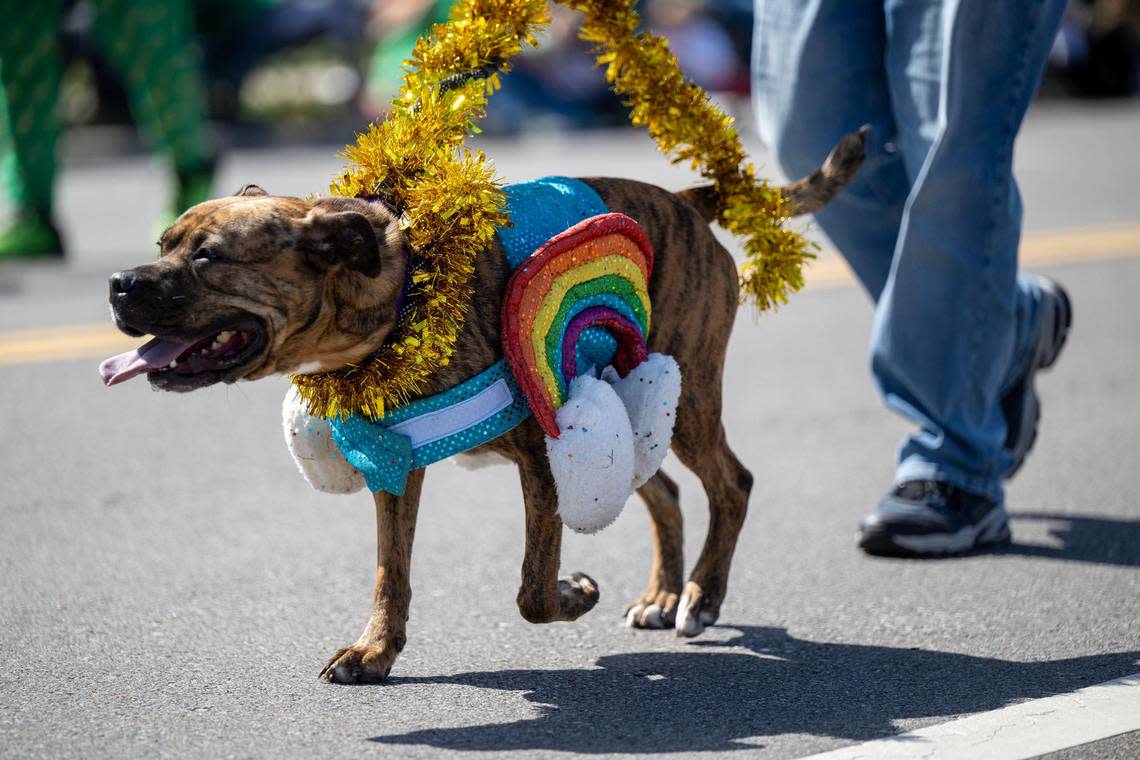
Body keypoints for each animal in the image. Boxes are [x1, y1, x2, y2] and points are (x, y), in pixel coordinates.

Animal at [107, 129, 861, 683]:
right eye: (162, 244)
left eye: (208, 257)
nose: (118, 283)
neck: (399, 298)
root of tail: (682, 200)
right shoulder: (396, 462)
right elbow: (391, 572)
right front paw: (375, 652)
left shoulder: (543, 456)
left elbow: (532, 590)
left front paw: (574, 594)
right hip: (624, 404)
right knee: (667, 493)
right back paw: (664, 596)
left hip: (688, 396)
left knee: (731, 483)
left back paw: (702, 597)